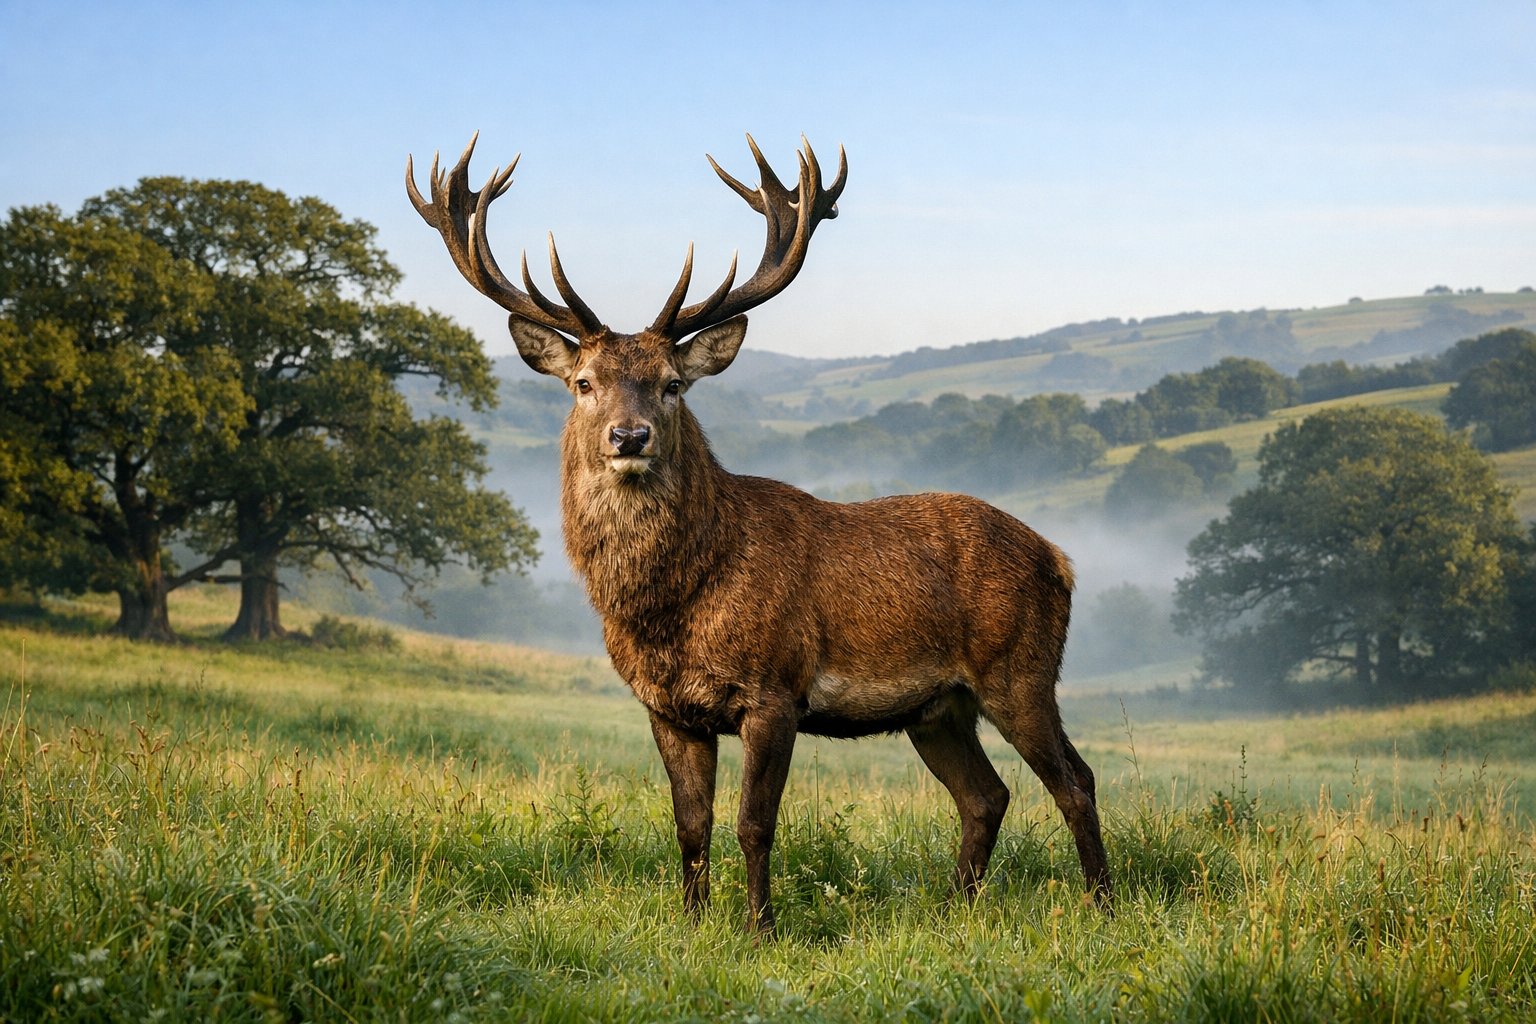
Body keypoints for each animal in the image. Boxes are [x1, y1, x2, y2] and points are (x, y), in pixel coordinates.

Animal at [406, 133, 1110, 935]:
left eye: (673, 383)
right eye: (583, 382)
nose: (629, 436)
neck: (675, 604)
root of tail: (1060, 558)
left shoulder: (774, 689)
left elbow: (754, 822)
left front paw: (761, 928)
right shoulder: (667, 707)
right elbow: (690, 824)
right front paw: (690, 922)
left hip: (1019, 670)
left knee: (1076, 779)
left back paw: (1103, 903)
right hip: (937, 708)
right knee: (986, 795)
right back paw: (955, 907)